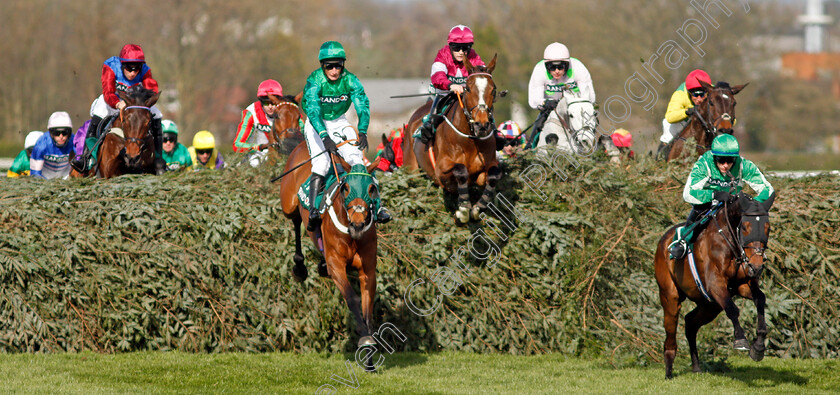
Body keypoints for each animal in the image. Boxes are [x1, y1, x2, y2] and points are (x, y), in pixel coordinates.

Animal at [278, 142, 378, 350]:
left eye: (372, 188)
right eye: (346, 188)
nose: (358, 224)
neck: (351, 235)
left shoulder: (368, 269)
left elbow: (367, 305)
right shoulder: (336, 266)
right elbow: (352, 298)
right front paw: (364, 336)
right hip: (288, 205)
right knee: (296, 220)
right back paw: (299, 267)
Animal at [404, 54, 496, 224]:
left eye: (493, 89)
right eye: (467, 88)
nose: (482, 125)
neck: (471, 139)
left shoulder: (488, 163)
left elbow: (493, 175)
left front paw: (477, 208)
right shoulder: (442, 167)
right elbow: (461, 171)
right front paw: (463, 210)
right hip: (410, 167)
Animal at [656, 193, 776, 380]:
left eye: (767, 227)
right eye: (745, 227)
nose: (756, 267)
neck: (730, 244)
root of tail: (663, 240)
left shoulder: (742, 285)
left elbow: (760, 299)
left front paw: (758, 347)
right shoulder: (716, 286)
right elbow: (733, 309)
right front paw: (740, 340)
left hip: (710, 305)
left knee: (690, 322)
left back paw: (696, 367)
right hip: (670, 297)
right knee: (671, 332)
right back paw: (668, 371)